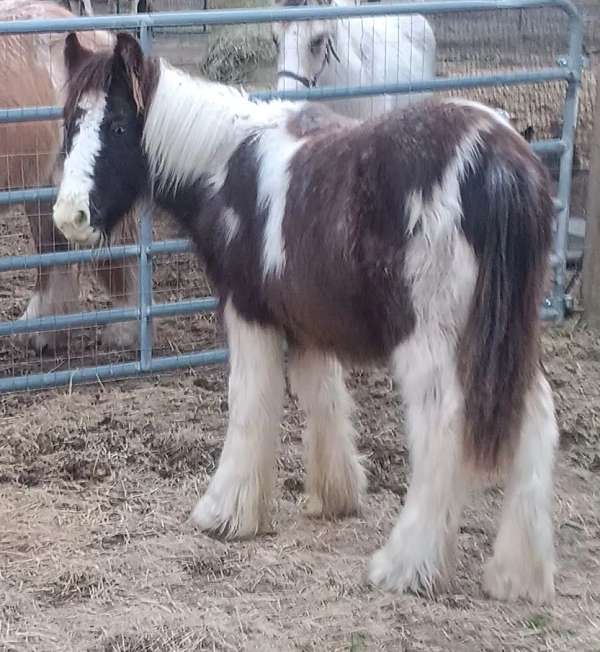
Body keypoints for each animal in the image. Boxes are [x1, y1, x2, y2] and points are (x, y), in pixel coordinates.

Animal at [54, 30, 560, 600]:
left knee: (444, 425)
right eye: (70, 122)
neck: (223, 166)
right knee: (536, 420)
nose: (69, 216)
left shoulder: (249, 314)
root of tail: (499, 164)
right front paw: (334, 496)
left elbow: (249, 404)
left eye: (118, 126)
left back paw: (407, 563)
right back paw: (518, 574)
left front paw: (225, 511)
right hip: (506, 337)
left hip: (430, 340)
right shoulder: (308, 323)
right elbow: (323, 399)